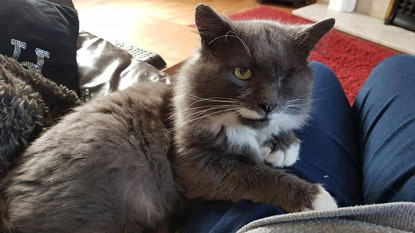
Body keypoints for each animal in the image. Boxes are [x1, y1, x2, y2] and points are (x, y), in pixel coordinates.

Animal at [0, 4, 338, 233]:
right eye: (243, 72)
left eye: (287, 77)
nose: (268, 105)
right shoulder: (195, 166)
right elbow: (253, 174)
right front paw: (317, 198)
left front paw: (283, 145)